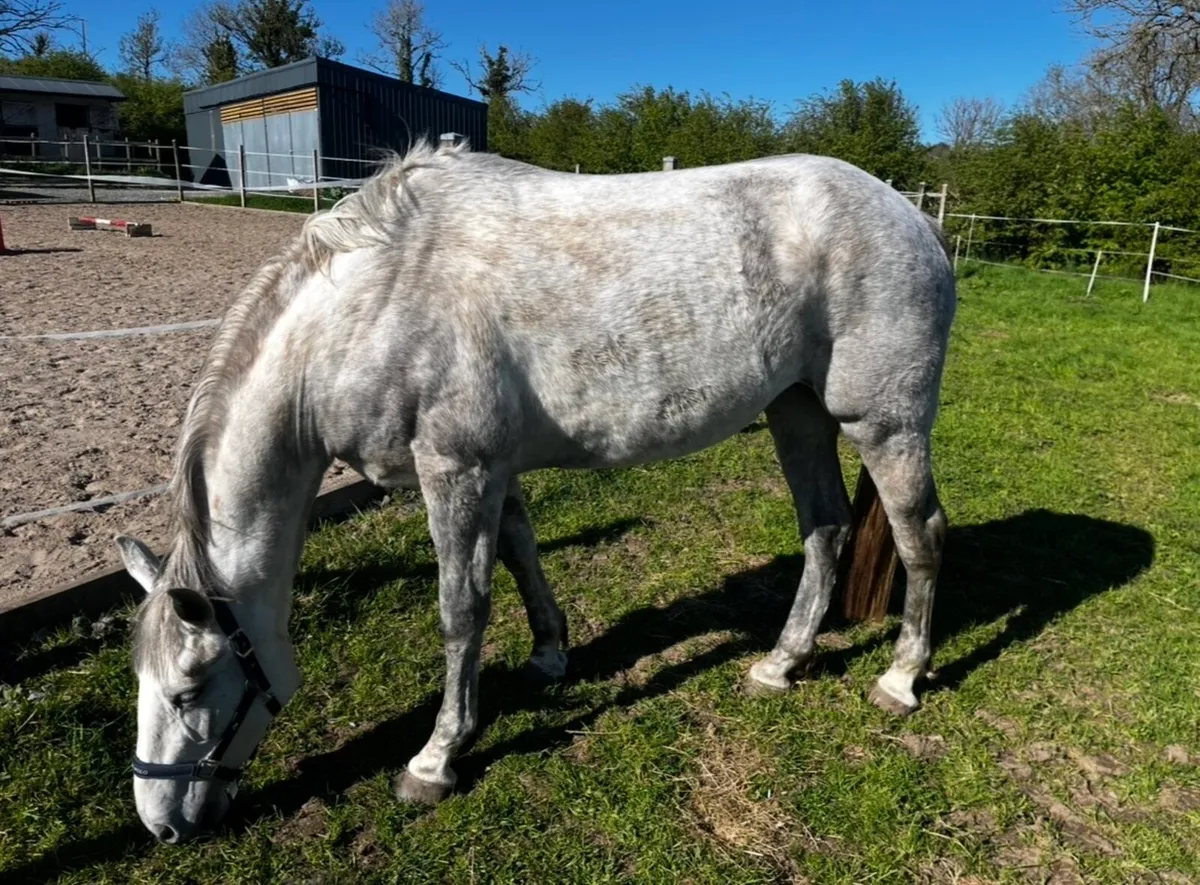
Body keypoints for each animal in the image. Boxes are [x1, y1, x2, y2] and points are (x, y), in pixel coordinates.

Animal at [116, 140, 955, 843]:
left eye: (190, 688)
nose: (160, 824)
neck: (377, 301)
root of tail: (914, 218)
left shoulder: (455, 470)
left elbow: (462, 610)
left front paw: (435, 758)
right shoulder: (493, 470)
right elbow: (521, 558)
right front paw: (551, 655)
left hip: (884, 423)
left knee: (921, 533)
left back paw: (900, 678)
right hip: (797, 413)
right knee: (827, 528)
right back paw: (781, 663)